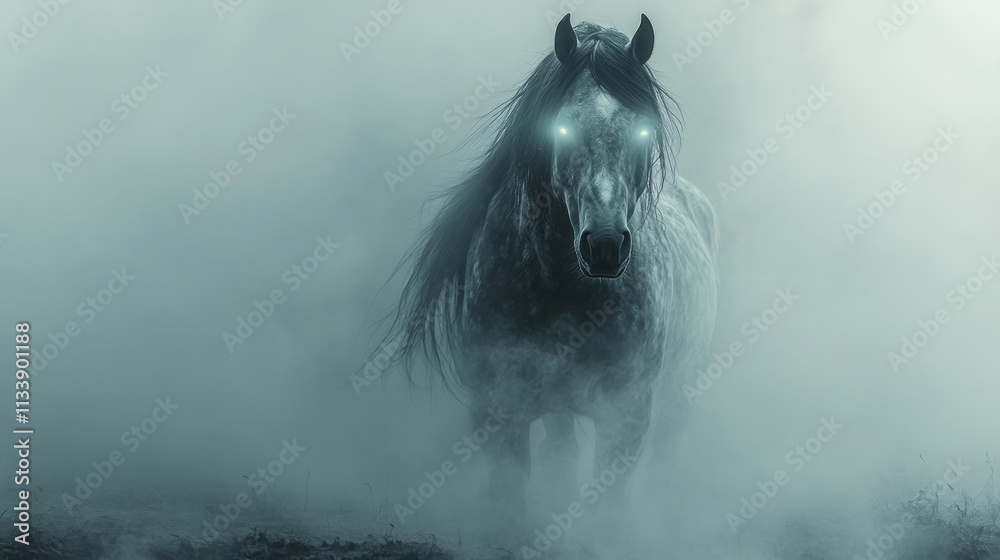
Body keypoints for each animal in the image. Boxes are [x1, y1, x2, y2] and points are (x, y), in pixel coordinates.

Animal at [389, 13, 719, 523]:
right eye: (561, 130)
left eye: (645, 131)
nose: (604, 246)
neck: (559, 289)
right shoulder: (498, 414)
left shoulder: (626, 415)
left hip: (678, 393)